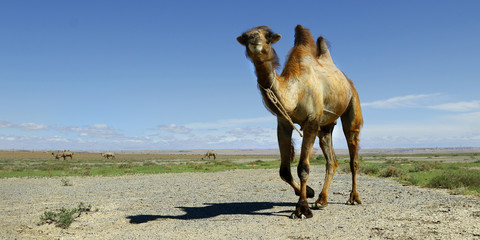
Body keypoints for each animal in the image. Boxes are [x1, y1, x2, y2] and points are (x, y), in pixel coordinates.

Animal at [238, 25, 362, 218]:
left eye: (268, 37)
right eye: (245, 37)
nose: (253, 39)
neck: (295, 93)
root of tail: (347, 81)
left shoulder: (311, 121)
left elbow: (303, 167)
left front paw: (302, 208)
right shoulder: (283, 123)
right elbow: (284, 171)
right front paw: (309, 192)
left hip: (352, 104)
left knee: (353, 153)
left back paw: (353, 198)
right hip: (325, 126)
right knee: (331, 160)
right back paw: (321, 200)